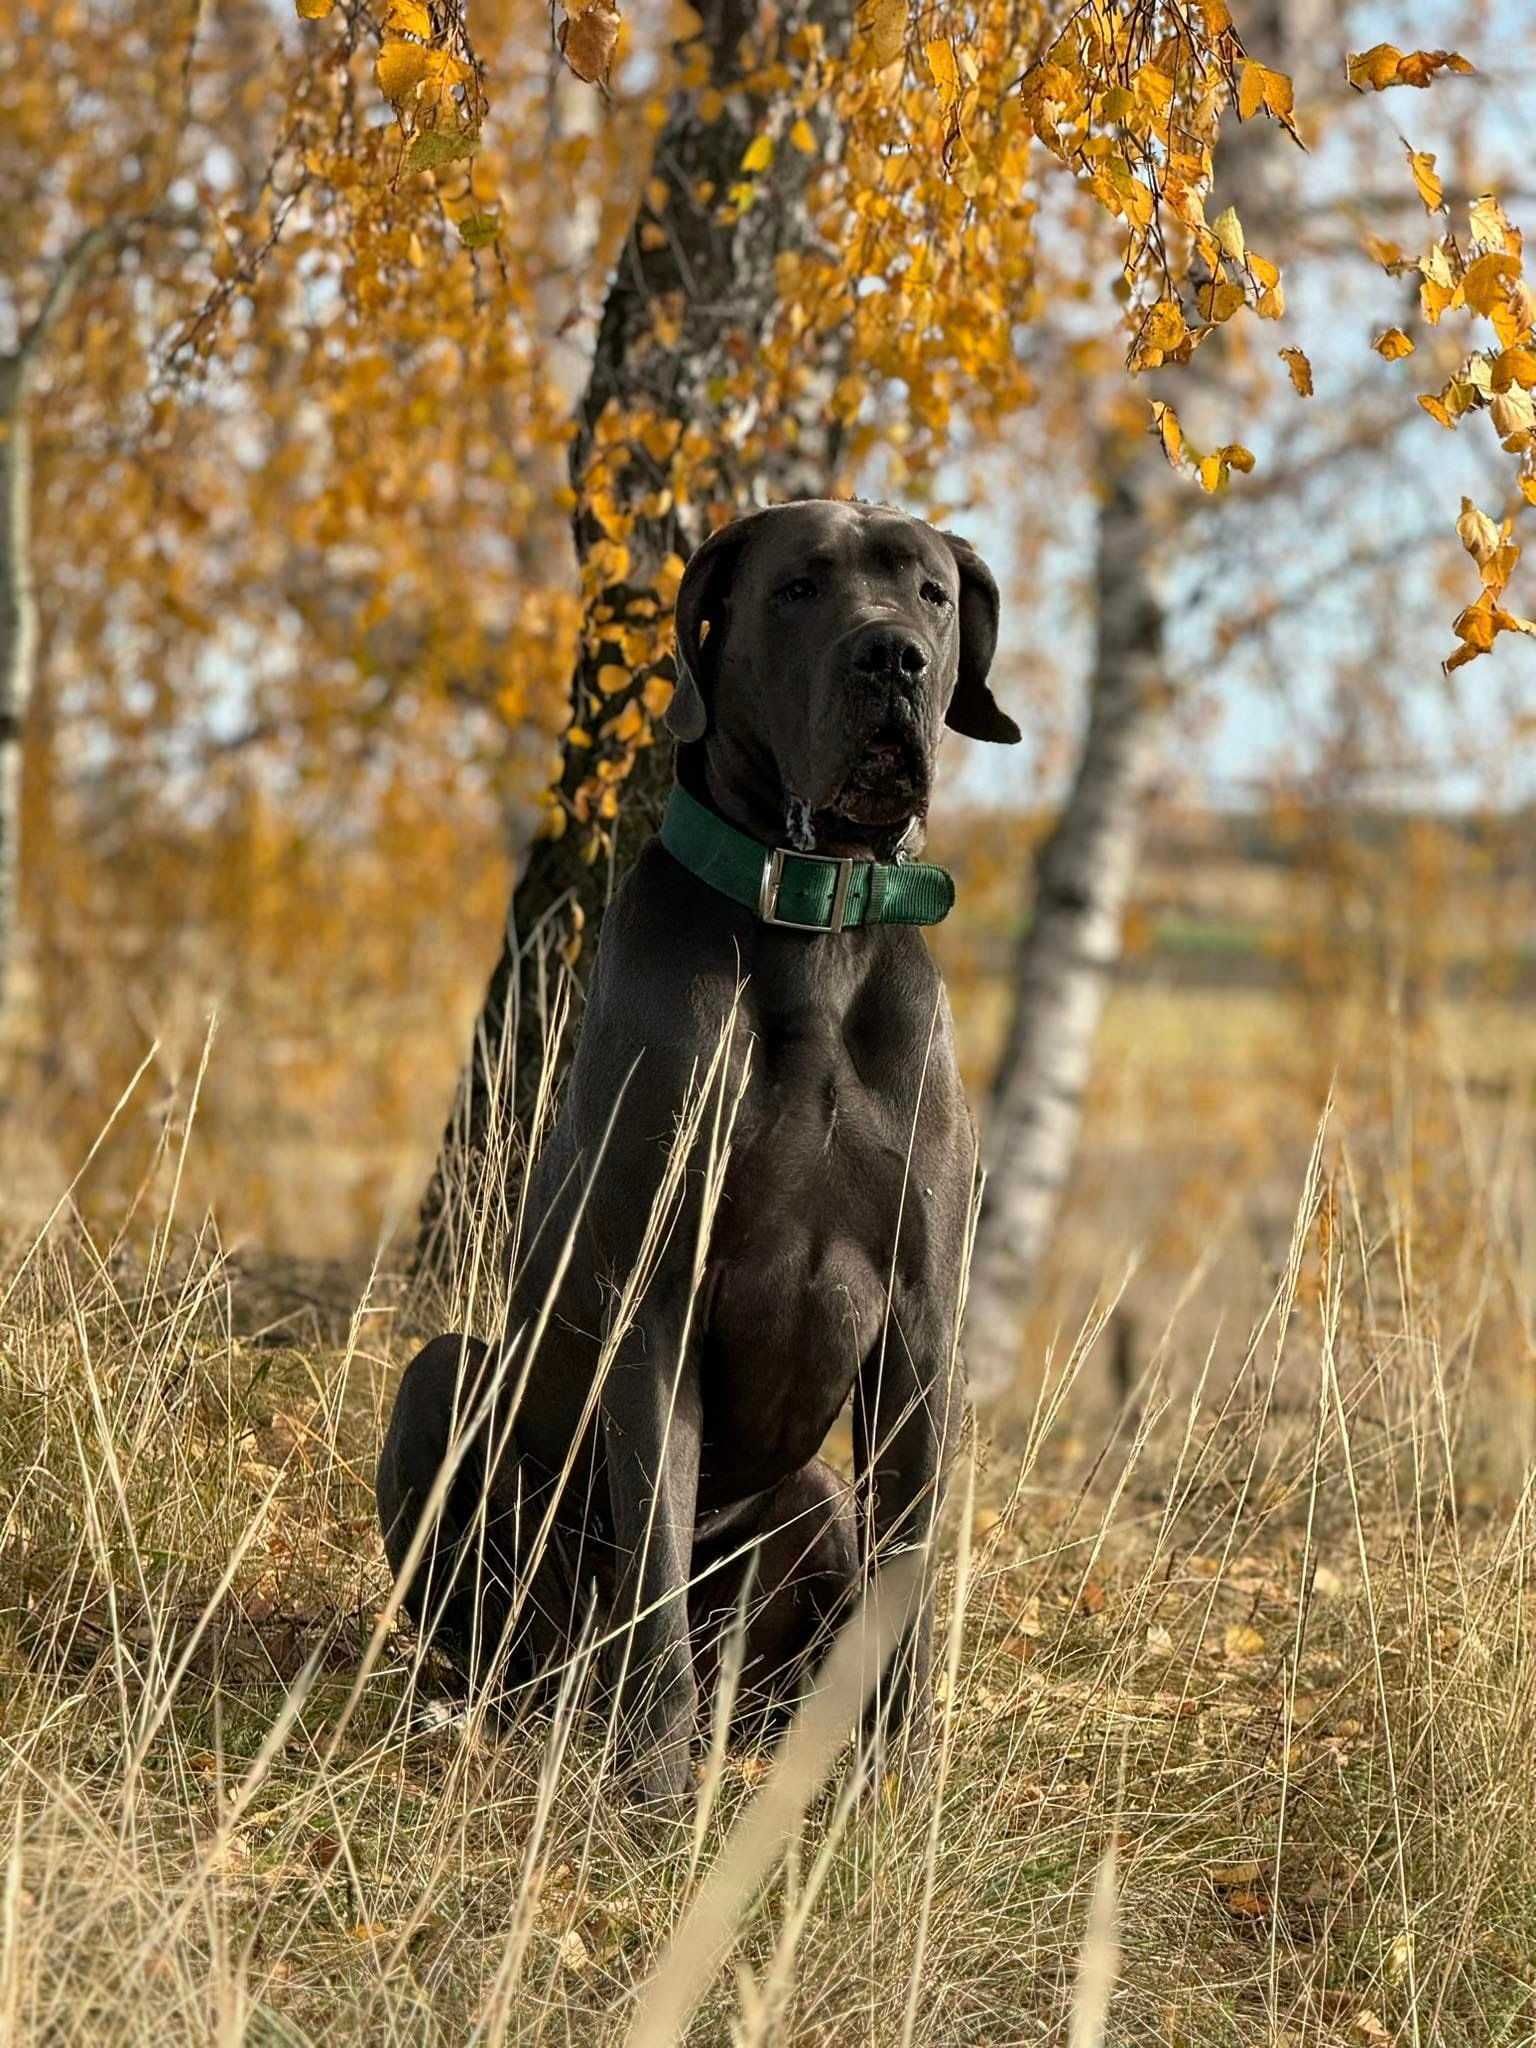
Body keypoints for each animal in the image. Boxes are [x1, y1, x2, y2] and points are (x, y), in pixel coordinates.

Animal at [376, 499, 1015, 1810]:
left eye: (930, 591)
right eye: (800, 587)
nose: (893, 658)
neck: (817, 923)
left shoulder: (922, 1327)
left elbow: (908, 1563)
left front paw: (898, 1777)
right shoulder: (656, 1297)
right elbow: (656, 1565)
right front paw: (657, 1785)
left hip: (810, 1501)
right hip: (448, 1388)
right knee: (524, 1627)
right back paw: (496, 1715)